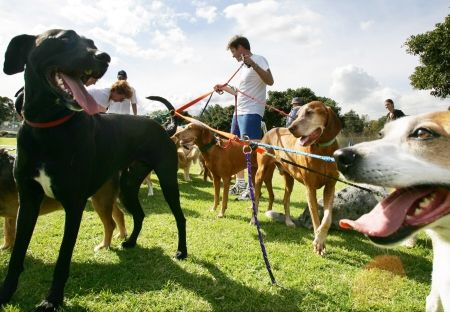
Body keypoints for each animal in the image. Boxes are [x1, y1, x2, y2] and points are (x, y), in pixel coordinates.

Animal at [253, 101, 342, 255]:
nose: (291, 128)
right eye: (298, 114)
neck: (322, 150)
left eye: (310, 112)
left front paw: (320, 238)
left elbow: (327, 219)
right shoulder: (310, 188)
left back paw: (288, 221)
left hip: (289, 179)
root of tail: (271, 130)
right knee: (257, 196)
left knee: (285, 200)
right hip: (261, 173)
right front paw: (318, 241)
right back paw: (254, 219)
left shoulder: (330, 187)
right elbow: (315, 217)